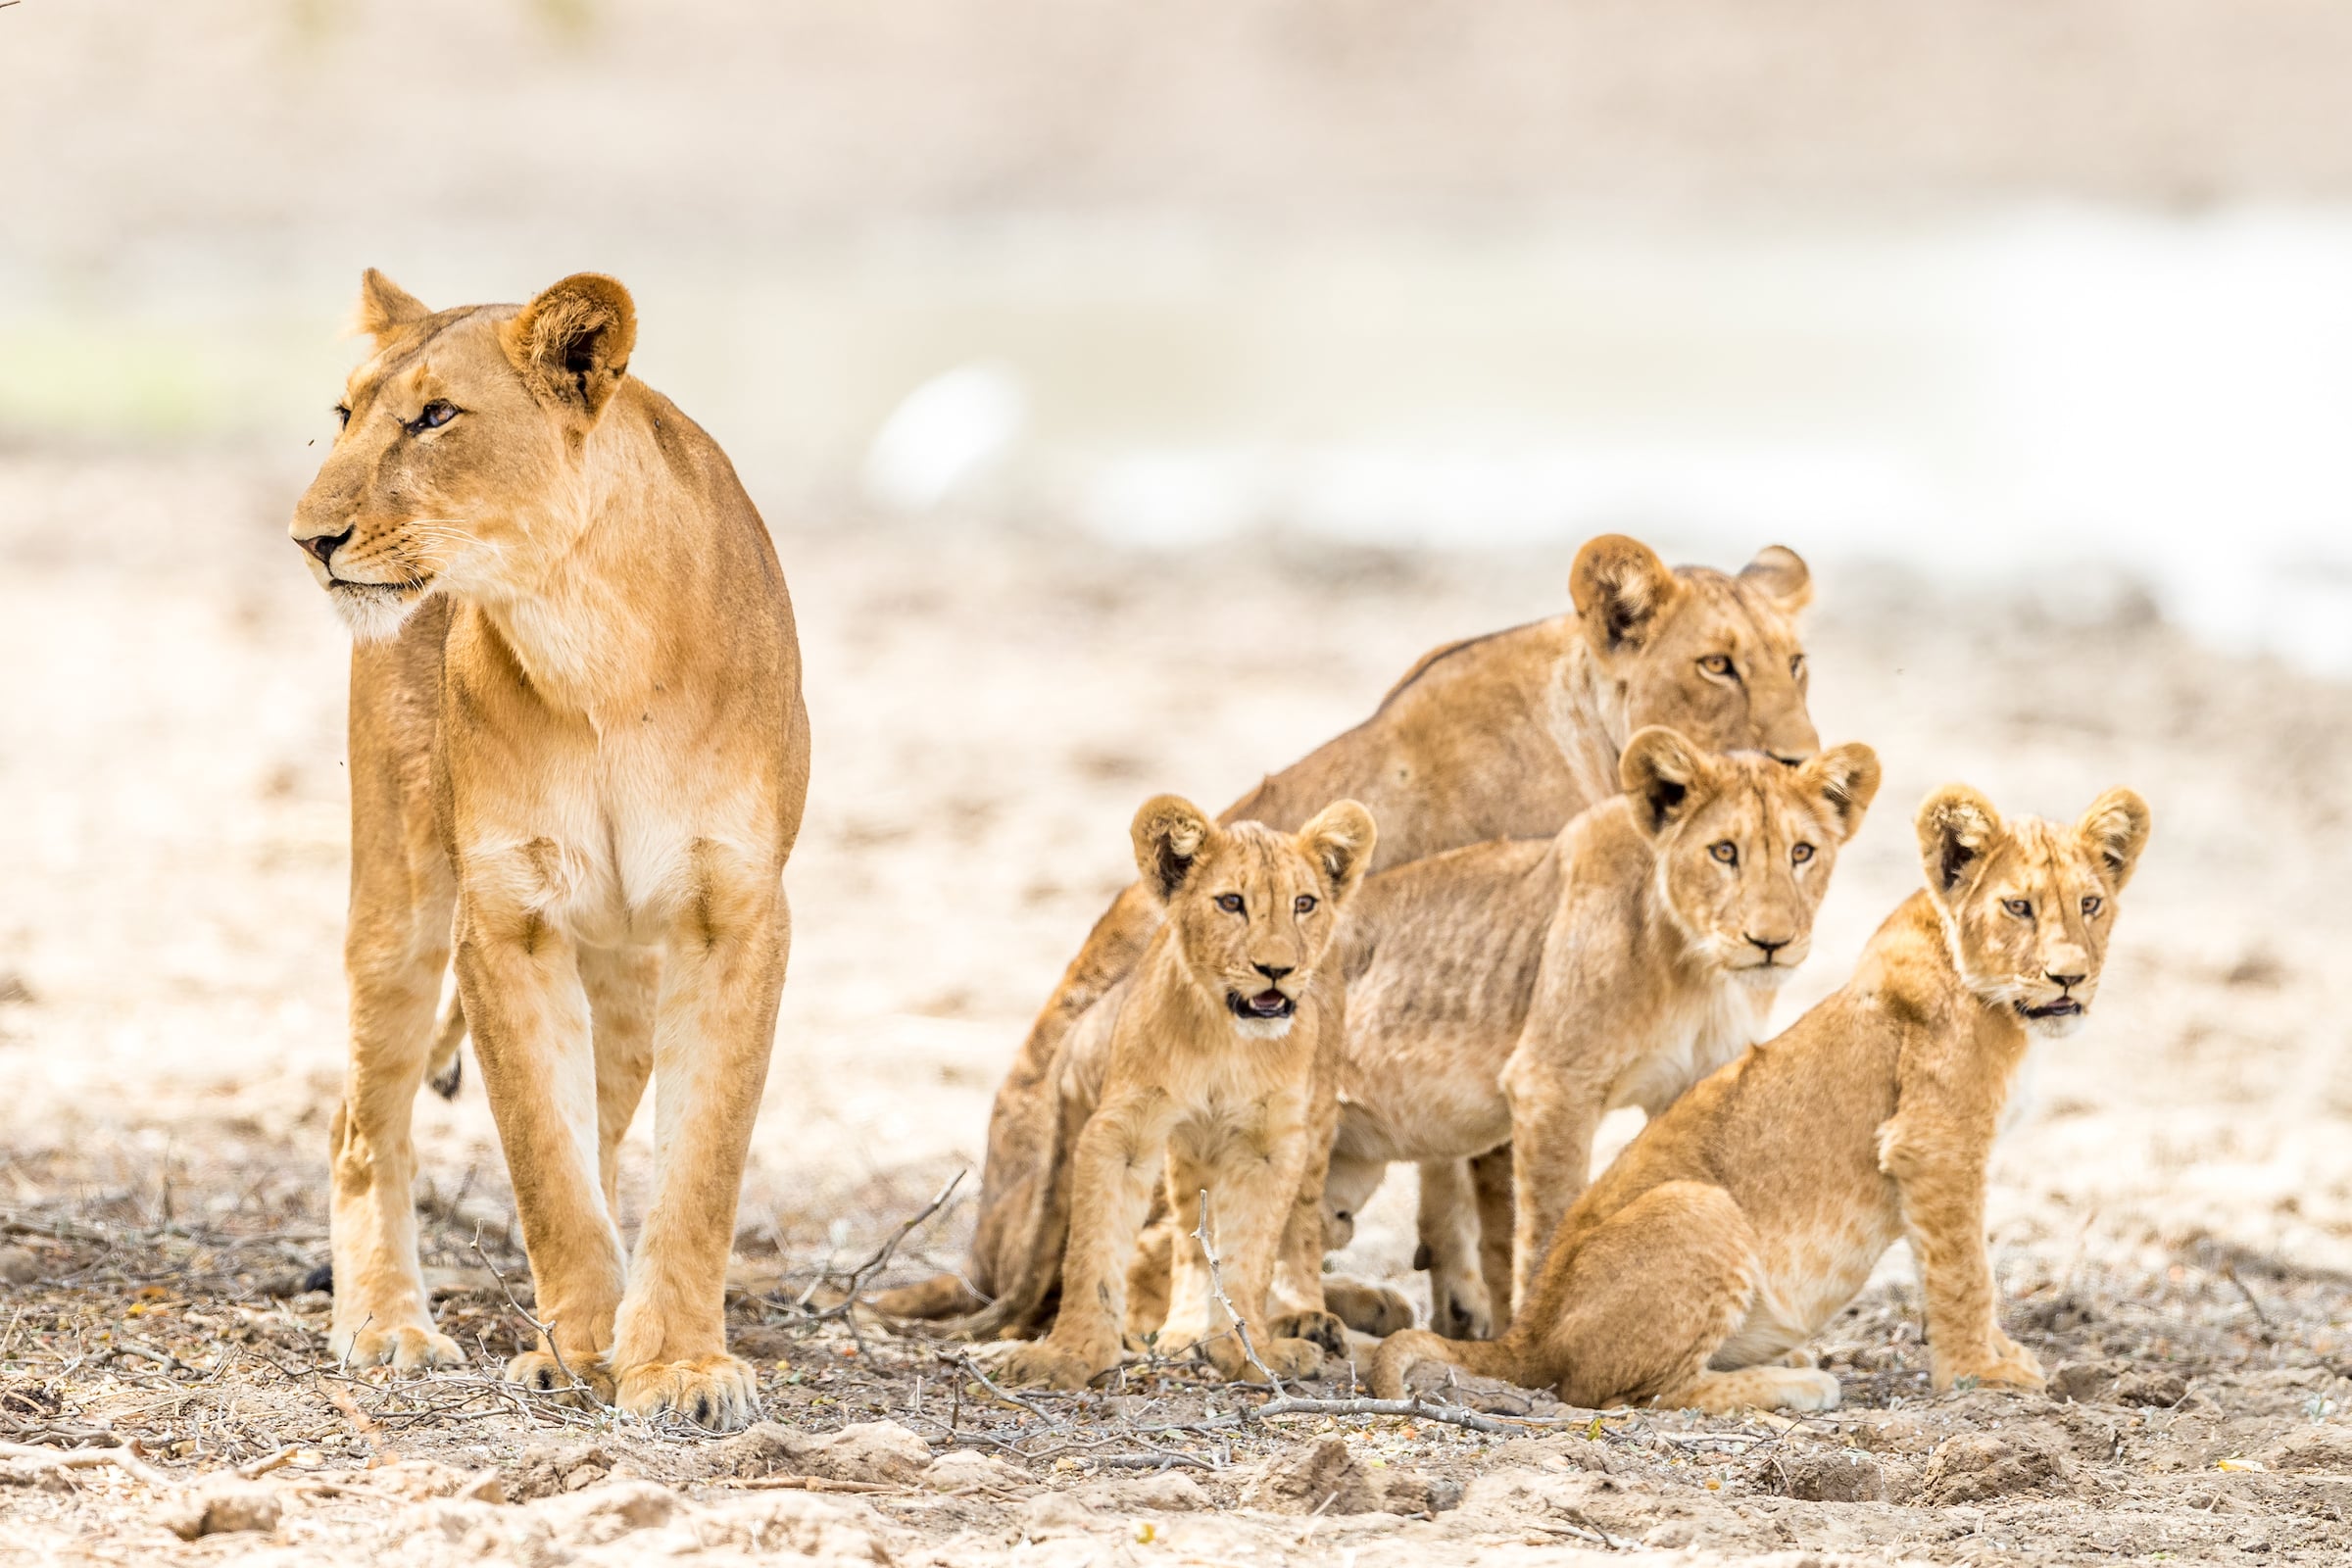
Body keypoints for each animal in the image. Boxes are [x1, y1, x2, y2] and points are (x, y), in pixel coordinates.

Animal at [289, 270, 809, 1432]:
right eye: (344, 416)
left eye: (435, 418)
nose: (309, 537)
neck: (592, 647)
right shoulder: (505, 915)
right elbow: (545, 1165)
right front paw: (579, 1353)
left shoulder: (734, 914)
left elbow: (700, 1164)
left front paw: (675, 1363)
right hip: (401, 897)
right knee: (360, 1120)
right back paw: (388, 1324)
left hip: (625, 966)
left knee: (609, 1128)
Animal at [883, 533, 1822, 1329]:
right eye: (1716, 666)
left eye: (1797, 664)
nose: (1798, 761)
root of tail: (983, 1263)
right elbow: (1497, 1193)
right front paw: (1500, 1312)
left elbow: (1449, 1175)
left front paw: (1464, 1308)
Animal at [993, 794, 1377, 1390]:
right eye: (1231, 902)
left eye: (1304, 903)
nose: (1277, 970)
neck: (1227, 1038)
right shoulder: (1125, 1128)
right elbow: (1093, 1255)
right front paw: (1071, 1354)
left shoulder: (1269, 1145)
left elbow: (1250, 1256)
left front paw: (1250, 1353)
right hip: (1189, 1151)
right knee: (1187, 1237)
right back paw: (1181, 1330)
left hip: (1315, 1122)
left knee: (1300, 1225)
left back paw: (1306, 1317)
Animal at [1326, 727, 1881, 1340]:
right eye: (1724, 851)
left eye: (1801, 852)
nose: (1770, 942)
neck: (1697, 975)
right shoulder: (1550, 1084)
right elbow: (1546, 1227)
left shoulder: (1700, 1083)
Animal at [1371, 783, 2152, 1414]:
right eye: (2018, 907)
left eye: (2091, 904)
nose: (2069, 978)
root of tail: (1524, 1335)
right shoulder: (1934, 1143)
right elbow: (1965, 1271)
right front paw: (1978, 1373)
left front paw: (1994, 1356)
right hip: (1700, 1207)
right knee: (1628, 1394)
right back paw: (1796, 1383)